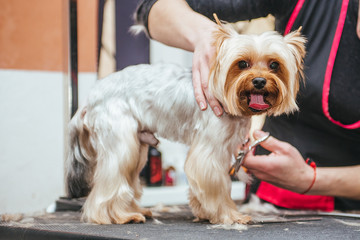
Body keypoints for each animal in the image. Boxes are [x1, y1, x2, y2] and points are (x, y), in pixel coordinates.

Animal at [64, 18, 304, 225]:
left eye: (274, 65)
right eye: (242, 63)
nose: (260, 81)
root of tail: (89, 99)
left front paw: (205, 212)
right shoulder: (209, 152)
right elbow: (217, 185)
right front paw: (229, 215)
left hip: (138, 145)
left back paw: (132, 210)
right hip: (121, 141)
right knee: (111, 180)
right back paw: (118, 216)